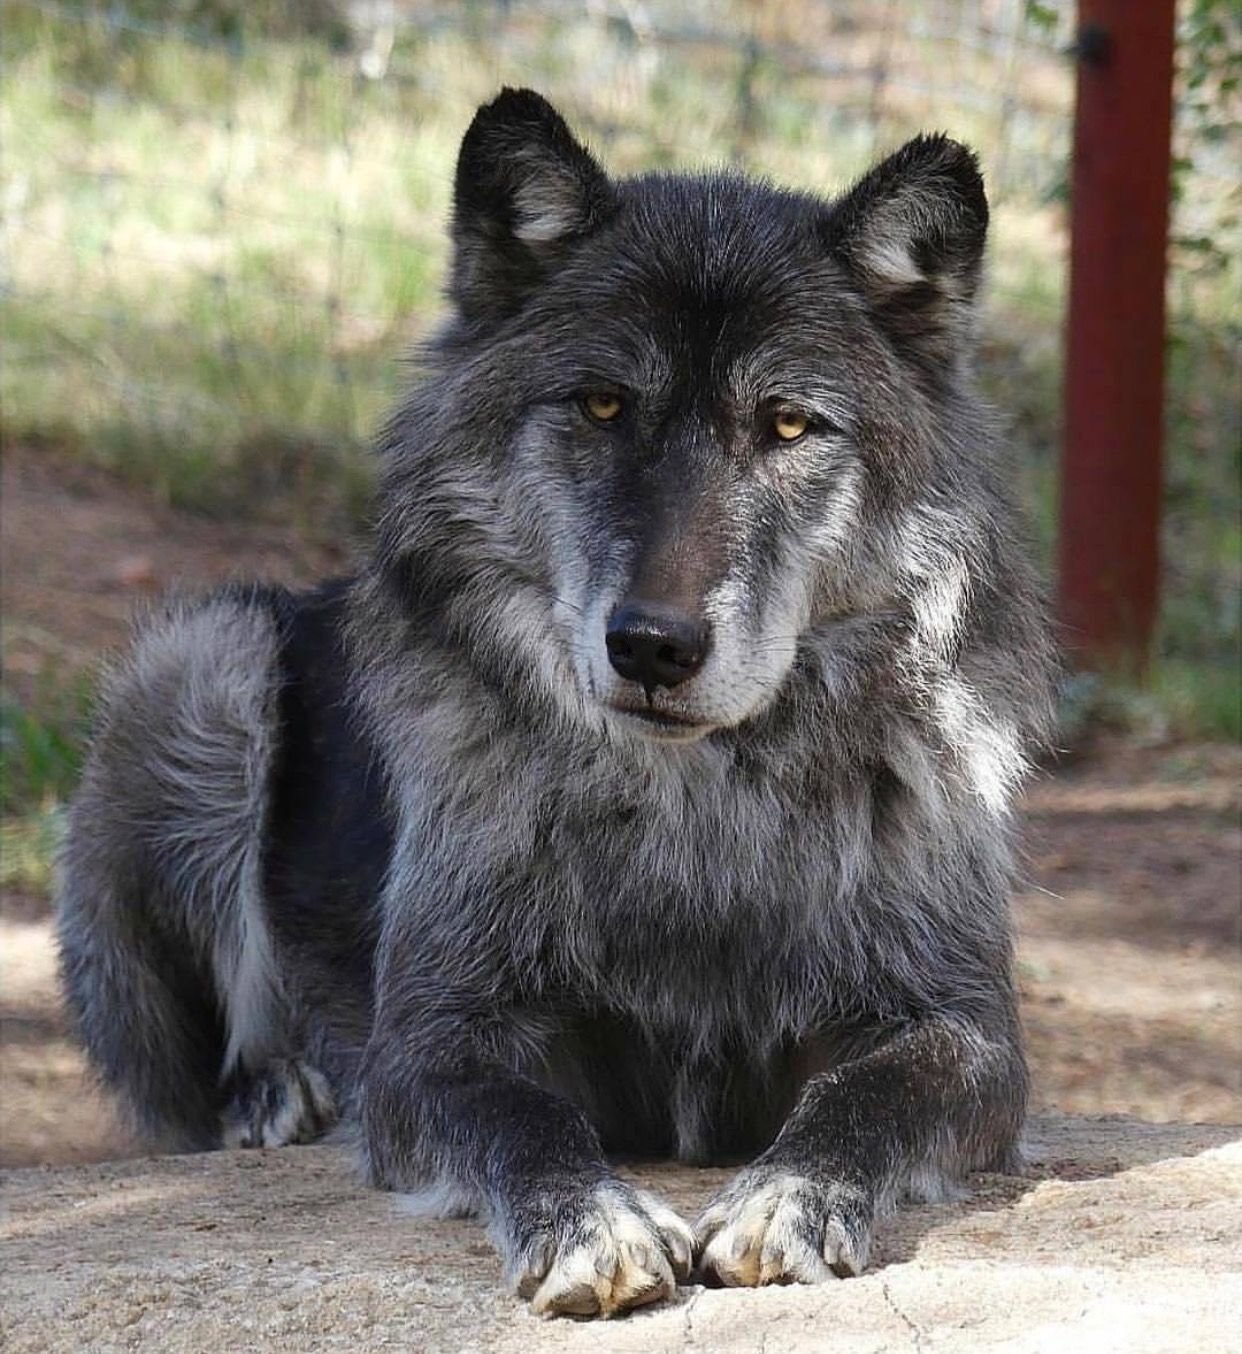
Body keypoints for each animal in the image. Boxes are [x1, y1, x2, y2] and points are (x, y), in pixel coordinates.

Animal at [55, 90, 1045, 1316]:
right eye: (604, 404)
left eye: (788, 425)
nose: (654, 644)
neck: (696, 815)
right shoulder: (433, 1040)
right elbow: (522, 1113)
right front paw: (591, 1221)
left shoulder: (965, 1031)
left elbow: (862, 1097)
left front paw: (789, 1197)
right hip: (204, 662)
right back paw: (275, 1094)